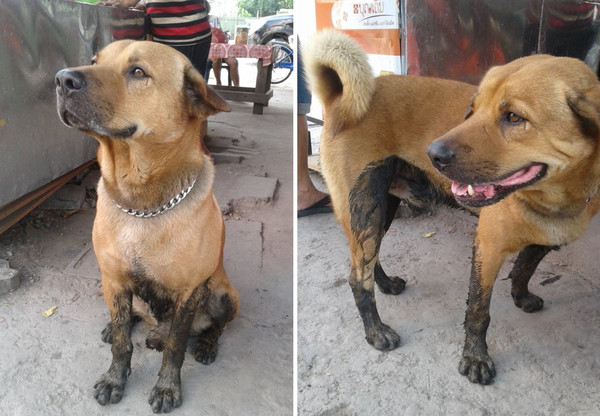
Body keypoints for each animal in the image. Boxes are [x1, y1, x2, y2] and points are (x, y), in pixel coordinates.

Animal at [55, 39, 239, 412]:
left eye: (138, 72)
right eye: (93, 60)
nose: (62, 79)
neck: (142, 205)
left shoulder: (189, 292)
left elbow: (176, 346)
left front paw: (168, 387)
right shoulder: (113, 278)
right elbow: (122, 343)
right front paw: (115, 377)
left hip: (225, 295)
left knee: (213, 326)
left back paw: (204, 343)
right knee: (130, 317)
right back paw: (120, 325)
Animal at [428, 54, 600, 384]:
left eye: (514, 117)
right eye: (473, 108)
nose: (433, 153)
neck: (551, 200)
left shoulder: (548, 237)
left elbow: (524, 268)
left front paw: (521, 296)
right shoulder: (488, 247)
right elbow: (478, 310)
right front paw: (475, 356)